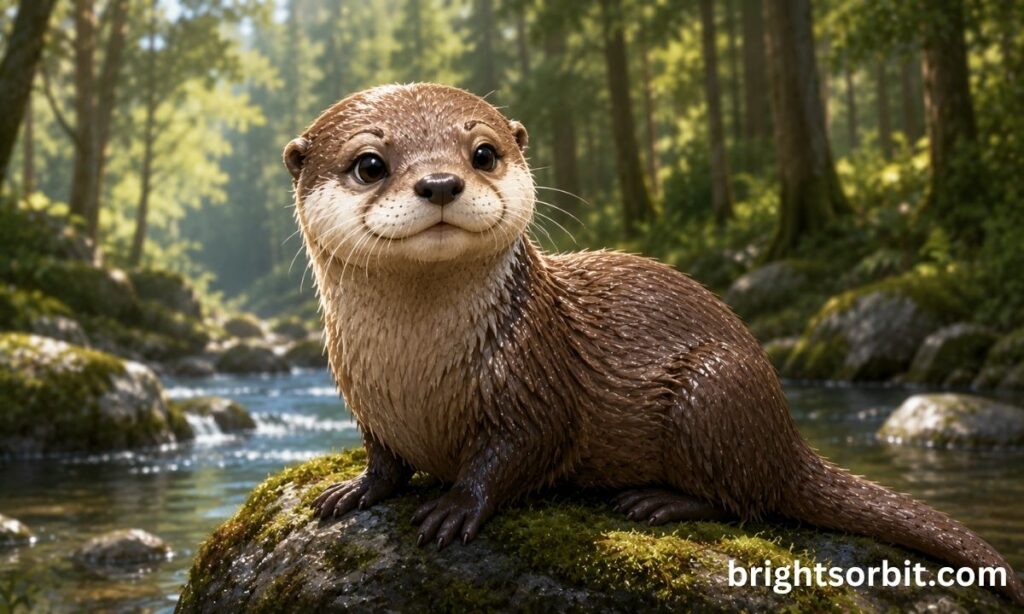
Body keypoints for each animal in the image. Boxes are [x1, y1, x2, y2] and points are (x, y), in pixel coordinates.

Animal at [284, 83, 1023, 604]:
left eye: (483, 153)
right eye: (369, 164)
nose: (440, 182)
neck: (415, 374)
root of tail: (786, 433)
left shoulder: (534, 380)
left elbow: (518, 451)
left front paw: (455, 507)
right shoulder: (363, 396)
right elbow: (384, 459)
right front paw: (353, 491)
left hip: (713, 391)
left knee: (748, 499)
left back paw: (658, 502)